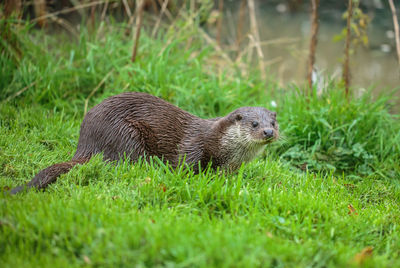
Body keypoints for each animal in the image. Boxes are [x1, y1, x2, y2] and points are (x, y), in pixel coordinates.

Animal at [9, 91, 278, 194]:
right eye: (254, 124)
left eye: (273, 122)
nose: (268, 132)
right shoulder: (193, 146)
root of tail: (86, 141)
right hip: (125, 134)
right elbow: (184, 165)